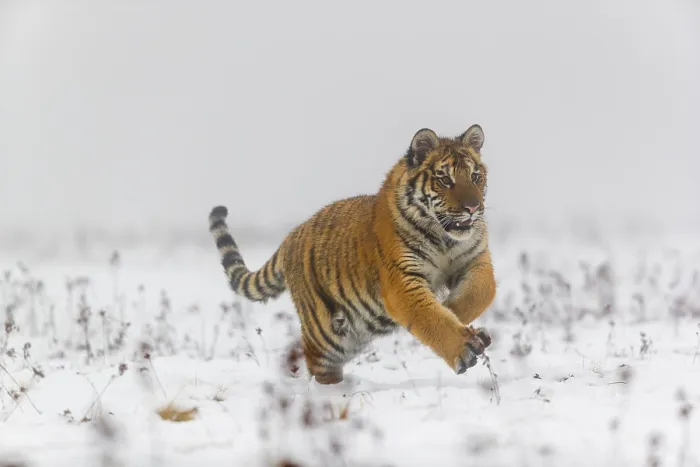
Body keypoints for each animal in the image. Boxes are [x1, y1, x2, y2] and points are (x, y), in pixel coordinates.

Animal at [208, 124, 496, 384]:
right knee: (316, 362)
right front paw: (463, 348)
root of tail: (292, 235)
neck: (443, 238)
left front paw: (454, 313)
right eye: (445, 179)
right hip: (325, 334)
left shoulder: (475, 260)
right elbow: (432, 318)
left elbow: (480, 293)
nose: (473, 207)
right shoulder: (402, 281)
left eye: (475, 176)